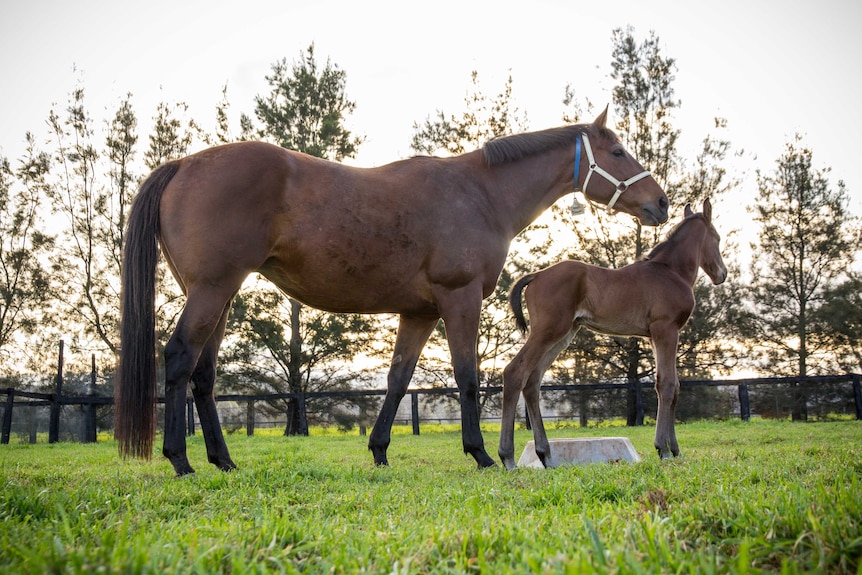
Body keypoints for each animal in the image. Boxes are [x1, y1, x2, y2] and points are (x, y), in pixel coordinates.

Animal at [113, 109, 668, 476]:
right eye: (617, 151)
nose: (660, 202)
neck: (479, 193)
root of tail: (183, 164)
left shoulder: (418, 313)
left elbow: (398, 380)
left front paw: (379, 450)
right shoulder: (459, 299)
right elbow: (468, 378)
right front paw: (481, 453)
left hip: (218, 297)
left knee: (203, 375)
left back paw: (222, 460)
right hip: (211, 291)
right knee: (179, 358)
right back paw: (181, 461)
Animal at [500, 200, 728, 470]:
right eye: (717, 238)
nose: (722, 274)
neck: (670, 271)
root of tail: (536, 275)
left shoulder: (654, 336)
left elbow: (672, 386)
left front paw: (675, 450)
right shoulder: (666, 330)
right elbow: (668, 385)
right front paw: (663, 449)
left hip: (563, 335)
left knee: (532, 381)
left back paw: (546, 456)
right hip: (549, 330)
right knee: (515, 372)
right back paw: (508, 458)